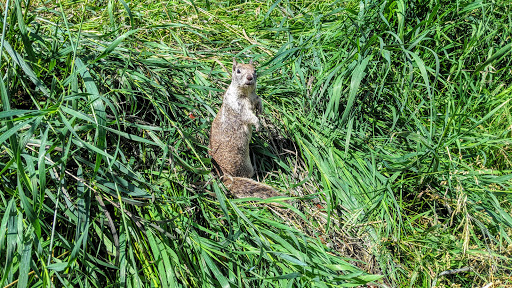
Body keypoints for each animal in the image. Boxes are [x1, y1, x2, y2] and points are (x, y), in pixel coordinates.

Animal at [209, 58, 280, 198]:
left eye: (255, 70)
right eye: (238, 71)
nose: (249, 77)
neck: (247, 93)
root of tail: (226, 176)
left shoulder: (255, 97)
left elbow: (259, 101)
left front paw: (261, 111)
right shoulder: (239, 107)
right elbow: (249, 117)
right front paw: (258, 124)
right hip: (244, 166)